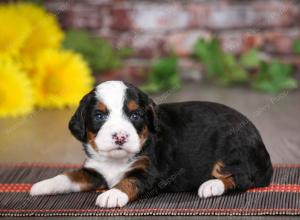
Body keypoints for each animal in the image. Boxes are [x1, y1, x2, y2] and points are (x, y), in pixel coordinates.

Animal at [29, 80, 272, 208]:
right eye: (99, 116)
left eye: (135, 115)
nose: (120, 137)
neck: (116, 160)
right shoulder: (94, 171)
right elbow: (69, 176)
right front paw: (43, 185)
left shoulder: (150, 172)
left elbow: (129, 181)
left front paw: (112, 195)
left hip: (234, 150)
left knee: (241, 178)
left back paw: (211, 185)